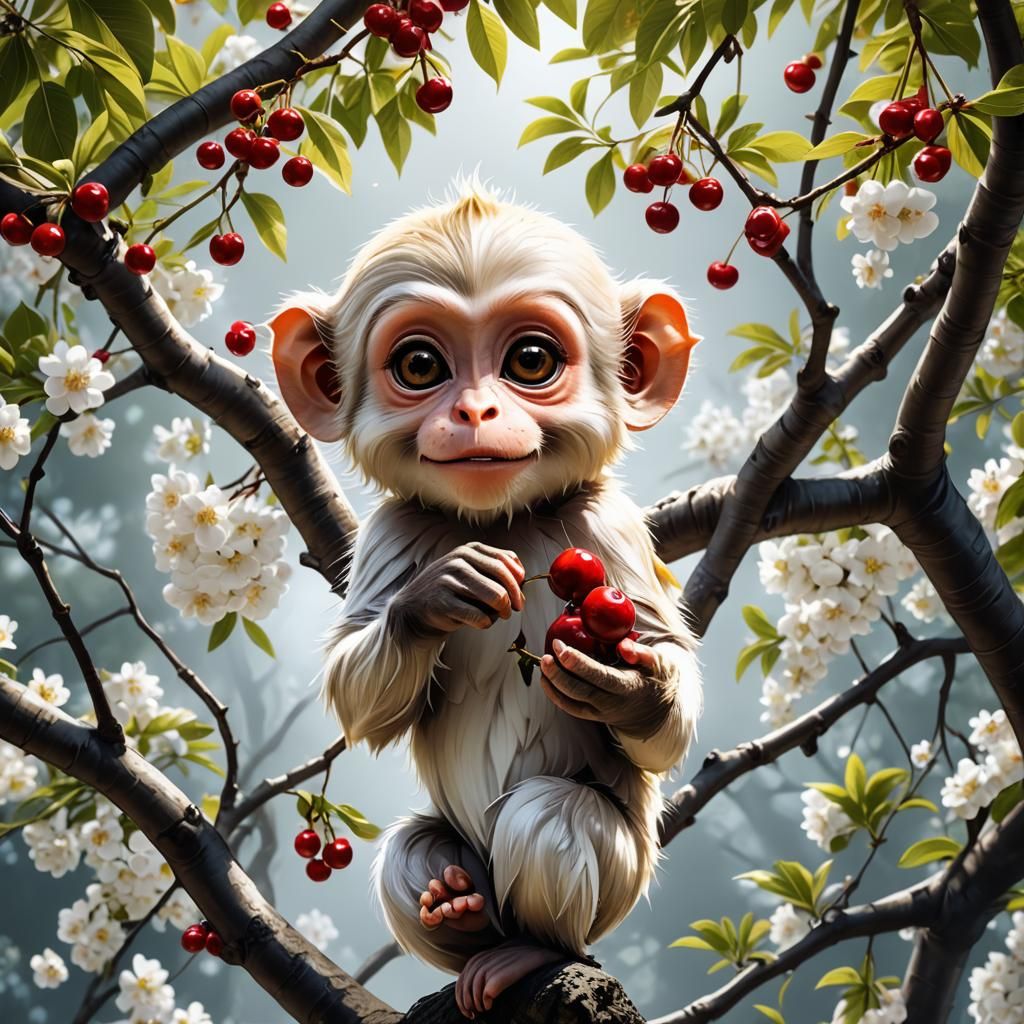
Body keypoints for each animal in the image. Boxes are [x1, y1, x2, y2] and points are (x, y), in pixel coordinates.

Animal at [270, 180, 703, 1017]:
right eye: (420, 365)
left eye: (530, 360)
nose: (475, 412)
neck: (507, 519)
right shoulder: (396, 527)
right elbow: (357, 688)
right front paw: (440, 594)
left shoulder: (608, 526)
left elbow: (667, 680)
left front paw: (624, 687)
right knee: (411, 853)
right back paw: (460, 911)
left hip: (622, 878)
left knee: (552, 816)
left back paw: (529, 949)